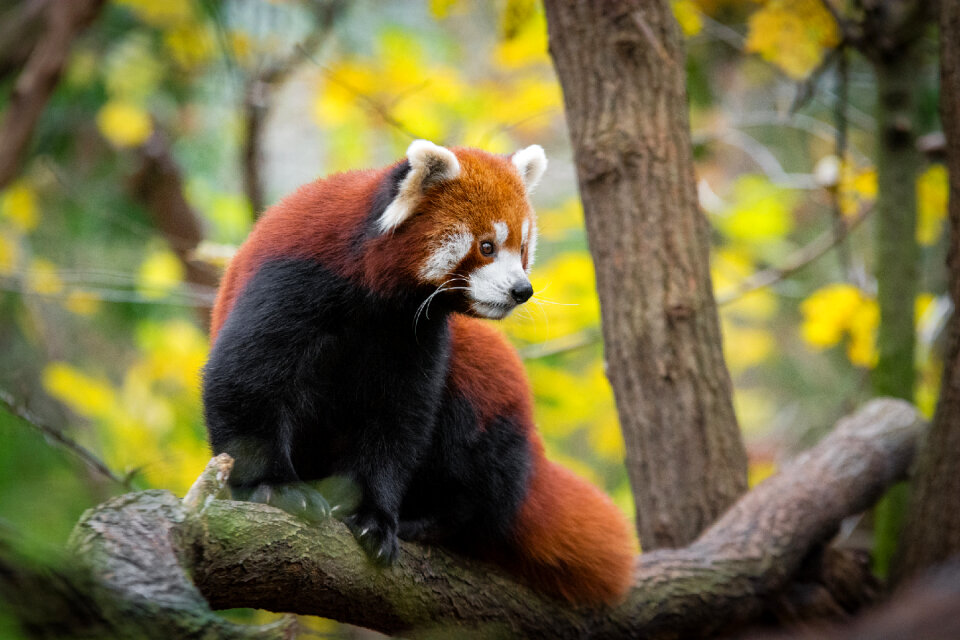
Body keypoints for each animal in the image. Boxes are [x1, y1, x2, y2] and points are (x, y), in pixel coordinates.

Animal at [202, 140, 636, 604]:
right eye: (486, 247)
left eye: (522, 248)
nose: (523, 290)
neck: (376, 291)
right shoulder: (295, 281)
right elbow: (247, 382)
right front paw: (277, 489)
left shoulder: (415, 335)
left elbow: (399, 419)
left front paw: (374, 515)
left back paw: (429, 522)